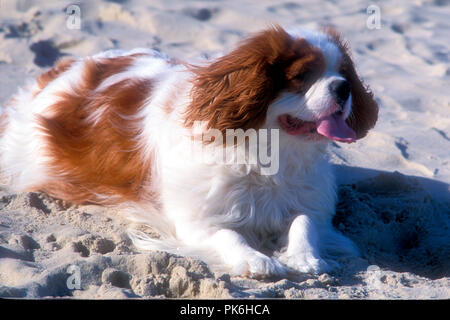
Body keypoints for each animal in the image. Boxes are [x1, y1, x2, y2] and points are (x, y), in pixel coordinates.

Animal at [0, 25, 378, 278]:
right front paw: (255, 259)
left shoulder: (306, 200)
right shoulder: (195, 222)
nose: (343, 88)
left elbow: (304, 222)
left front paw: (304, 257)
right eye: (302, 76)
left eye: (344, 73)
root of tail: (62, 70)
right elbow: (227, 233)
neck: (269, 150)